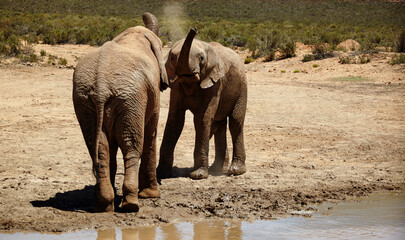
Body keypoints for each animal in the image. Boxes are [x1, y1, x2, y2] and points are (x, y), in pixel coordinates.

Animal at [72, 12, 167, 212]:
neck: (134, 34)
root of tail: (101, 85)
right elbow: (151, 133)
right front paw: (151, 195)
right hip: (130, 99)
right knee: (131, 146)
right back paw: (131, 204)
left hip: (86, 101)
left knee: (99, 147)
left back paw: (105, 203)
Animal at [157, 29, 246, 179]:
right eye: (172, 58)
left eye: (202, 58)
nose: (194, 30)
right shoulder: (176, 88)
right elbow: (175, 120)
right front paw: (161, 174)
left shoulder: (215, 85)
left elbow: (202, 119)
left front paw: (197, 175)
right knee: (219, 124)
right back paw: (216, 169)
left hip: (242, 86)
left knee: (235, 121)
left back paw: (236, 171)